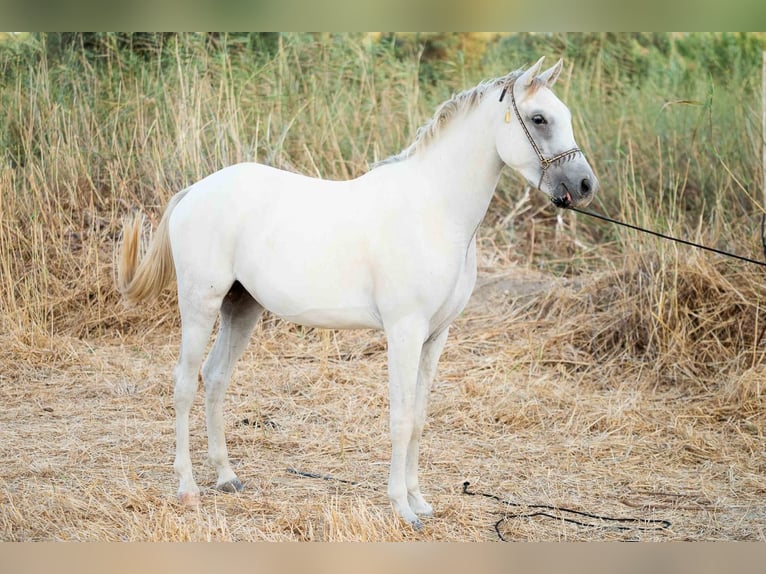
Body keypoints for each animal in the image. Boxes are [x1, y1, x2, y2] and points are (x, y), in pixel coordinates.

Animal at [118, 57, 600, 532]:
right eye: (539, 119)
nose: (584, 185)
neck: (433, 210)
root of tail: (195, 191)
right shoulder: (404, 332)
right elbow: (400, 419)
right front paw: (403, 509)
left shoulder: (435, 337)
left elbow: (419, 418)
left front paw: (420, 501)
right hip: (200, 305)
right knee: (184, 383)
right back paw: (187, 487)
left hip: (242, 307)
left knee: (215, 377)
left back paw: (226, 476)